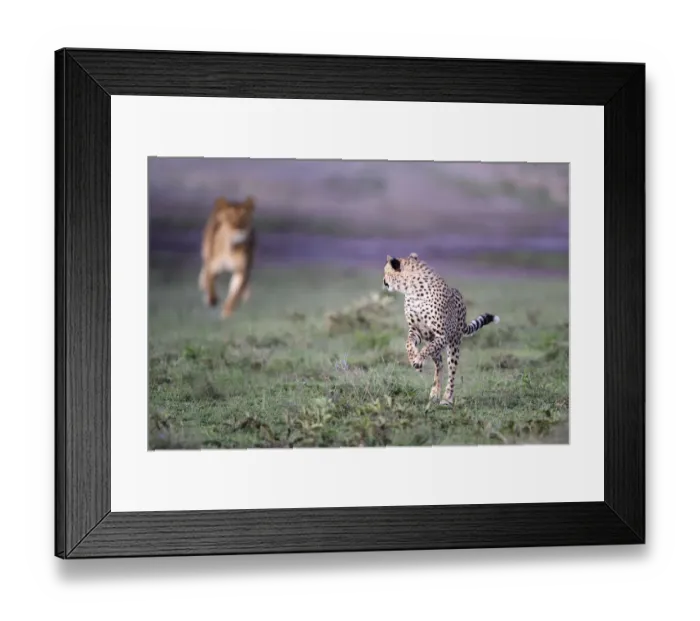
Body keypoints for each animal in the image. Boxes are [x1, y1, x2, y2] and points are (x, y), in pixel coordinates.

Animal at [383, 252, 500, 407]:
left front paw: (418, 360)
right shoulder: (416, 331)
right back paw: (434, 393)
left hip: (453, 344)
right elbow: (408, 343)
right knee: (439, 365)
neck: (412, 290)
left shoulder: (442, 336)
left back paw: (447, 398)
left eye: (386, 271)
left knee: (451, 370)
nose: (384, 281)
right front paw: (413, 358)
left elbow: (425, 350)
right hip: (432, 341)